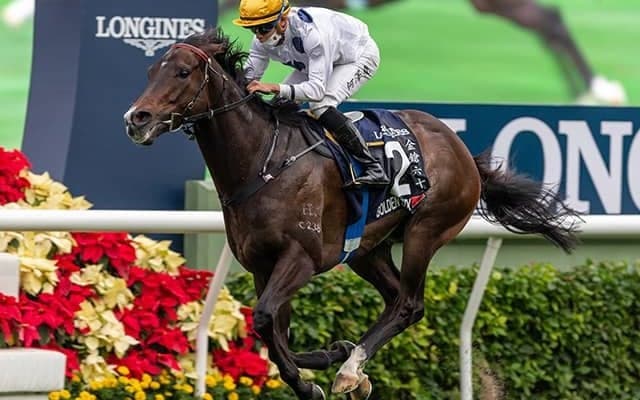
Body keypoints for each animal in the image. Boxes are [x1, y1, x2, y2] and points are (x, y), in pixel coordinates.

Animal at [124, 28, 579, 400]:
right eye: (150, 71)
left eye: (183, 72)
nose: (136, 118)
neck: (262, 163)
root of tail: (462, 148)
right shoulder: (261, 265)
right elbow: (274, 330)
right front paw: (326, 356)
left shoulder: (302, 258)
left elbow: (267, 319)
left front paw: (314, 380)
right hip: (366, 249)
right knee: (395, 298)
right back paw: (351, 365)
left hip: (427, 229)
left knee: (409, 304)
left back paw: (349, 370)